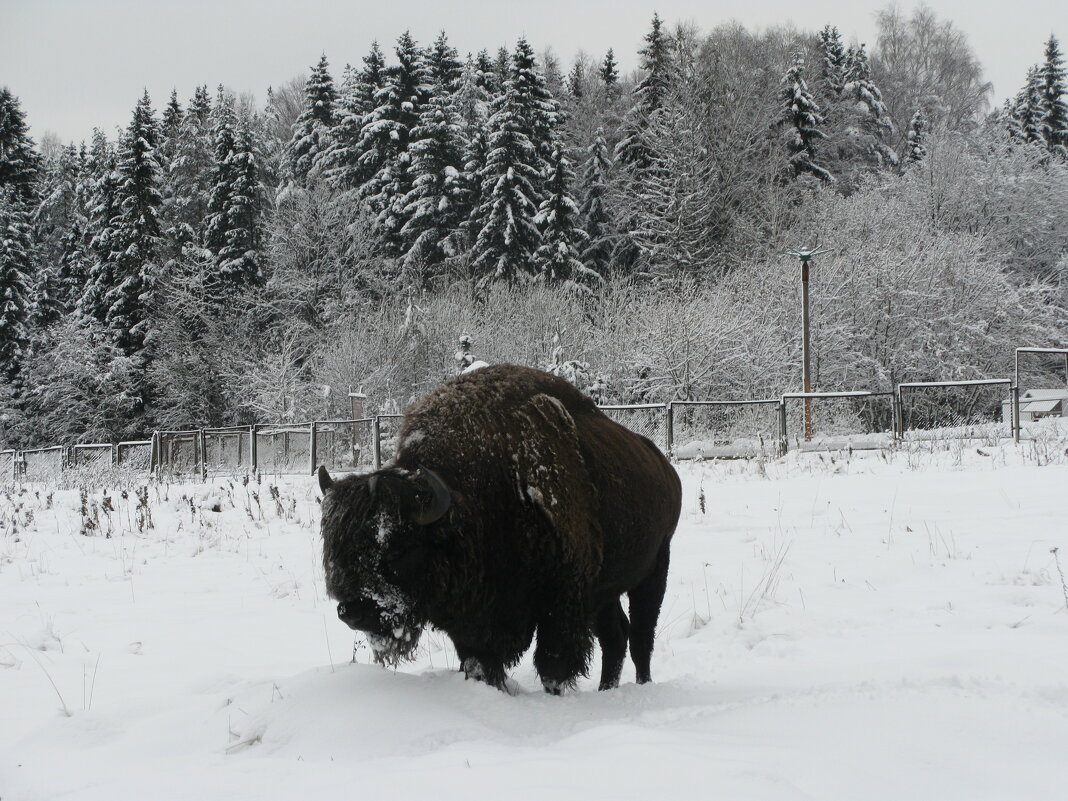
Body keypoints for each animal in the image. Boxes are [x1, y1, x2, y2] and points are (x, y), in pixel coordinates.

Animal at [318, 365, 683, 696]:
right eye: (333, 549)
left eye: (396, 548)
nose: (352, 611)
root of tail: (665, 469)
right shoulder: (475, 621)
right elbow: (480, 664)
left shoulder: (562, 602)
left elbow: (553, 666)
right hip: (606, 591)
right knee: (616, 636)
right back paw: (607, 689)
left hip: (654, 571)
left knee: (640, 635)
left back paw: (642, 686)